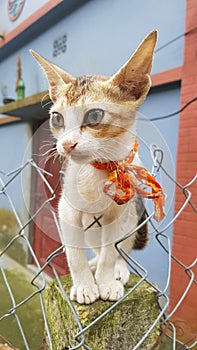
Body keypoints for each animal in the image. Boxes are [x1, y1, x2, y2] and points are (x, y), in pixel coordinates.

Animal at [30, 30, 157, 304]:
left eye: (94, 116)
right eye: (57, 118)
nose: (66, 144)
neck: (99, 169)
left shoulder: (118, 213)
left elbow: (111, 251)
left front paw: (106, 280)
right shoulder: (67, 210)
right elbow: (74, 254)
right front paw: (85, 285)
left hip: (132, 216)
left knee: (120, 249)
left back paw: (118, 269)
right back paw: (93, 265)